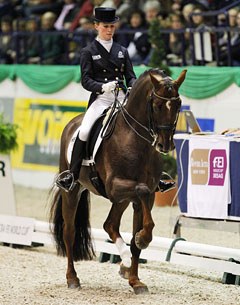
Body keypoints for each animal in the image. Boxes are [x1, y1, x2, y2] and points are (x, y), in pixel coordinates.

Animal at [49, 67, 188, 294]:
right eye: (157, 105)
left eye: (178, 105)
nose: (165, 145)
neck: (135, 139)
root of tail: (73, 122)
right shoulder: (115, 186)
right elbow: (142, 192)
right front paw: (143, 239)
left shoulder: (143, 196)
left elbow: (136, 237)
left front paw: (136, 280)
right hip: (73, 190)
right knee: (69, 232)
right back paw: (73, 279)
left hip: (121, 199)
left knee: (110, 224)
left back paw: (124, 265)